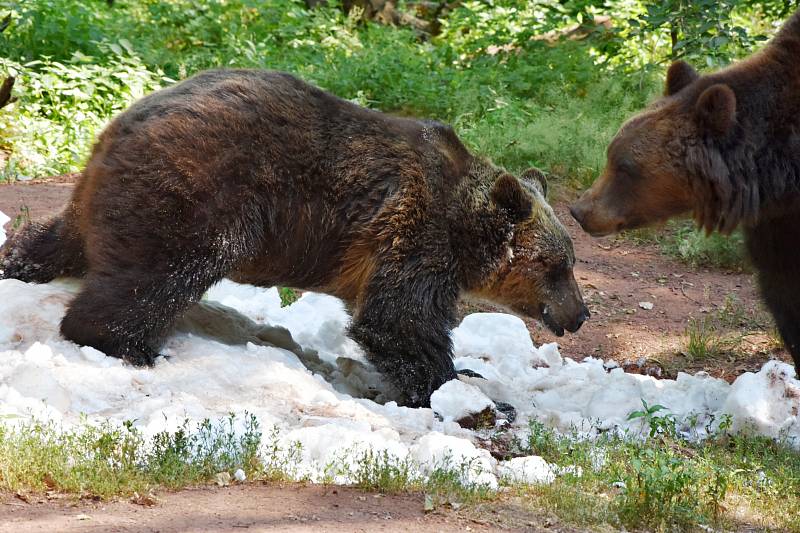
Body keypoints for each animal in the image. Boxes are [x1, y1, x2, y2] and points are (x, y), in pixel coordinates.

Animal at [0, 68, 588, 406]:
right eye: (556, 266)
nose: (579, 314)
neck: (467, 233)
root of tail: (121, 123)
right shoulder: (416, 235)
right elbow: (398, 321)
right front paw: (462, 389)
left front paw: (466, 374)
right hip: (204, 195)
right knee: (159, 275)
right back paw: (130, 345)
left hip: (103, 194)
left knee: (70, 238)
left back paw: (20, 262)